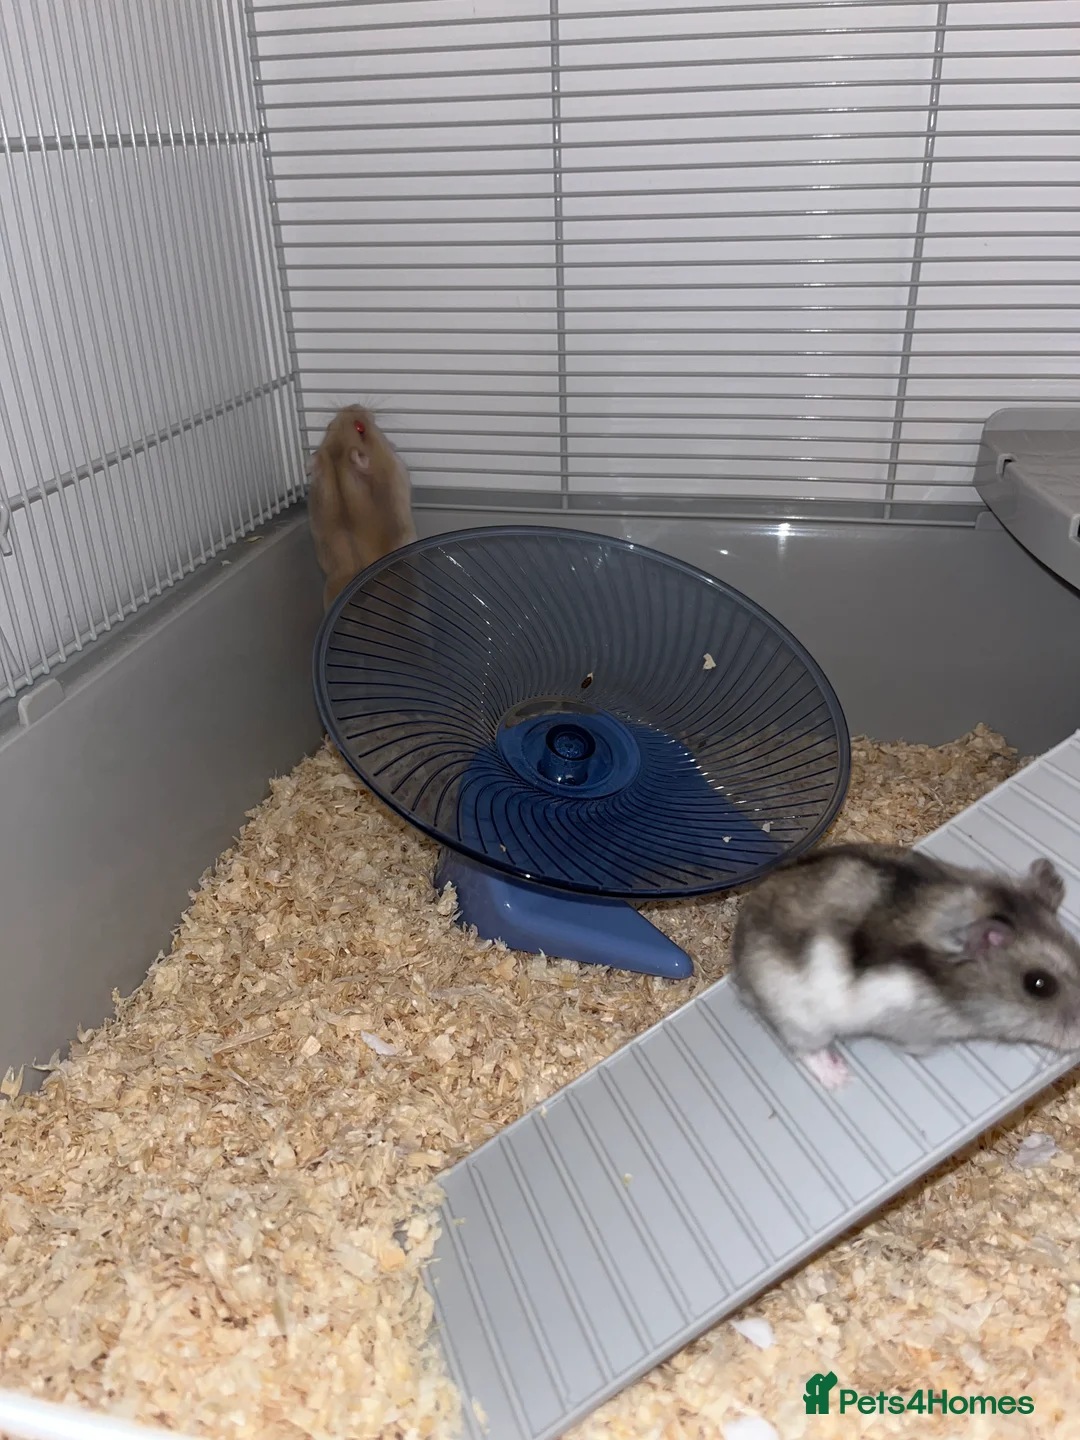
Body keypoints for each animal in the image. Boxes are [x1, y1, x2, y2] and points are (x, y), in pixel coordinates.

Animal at [730, 842, 1080, 1090]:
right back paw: (839, 1078)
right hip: (801, 1019)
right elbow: (918, 1047)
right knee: (804, 1049)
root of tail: (737, 960)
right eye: (1039, 984)